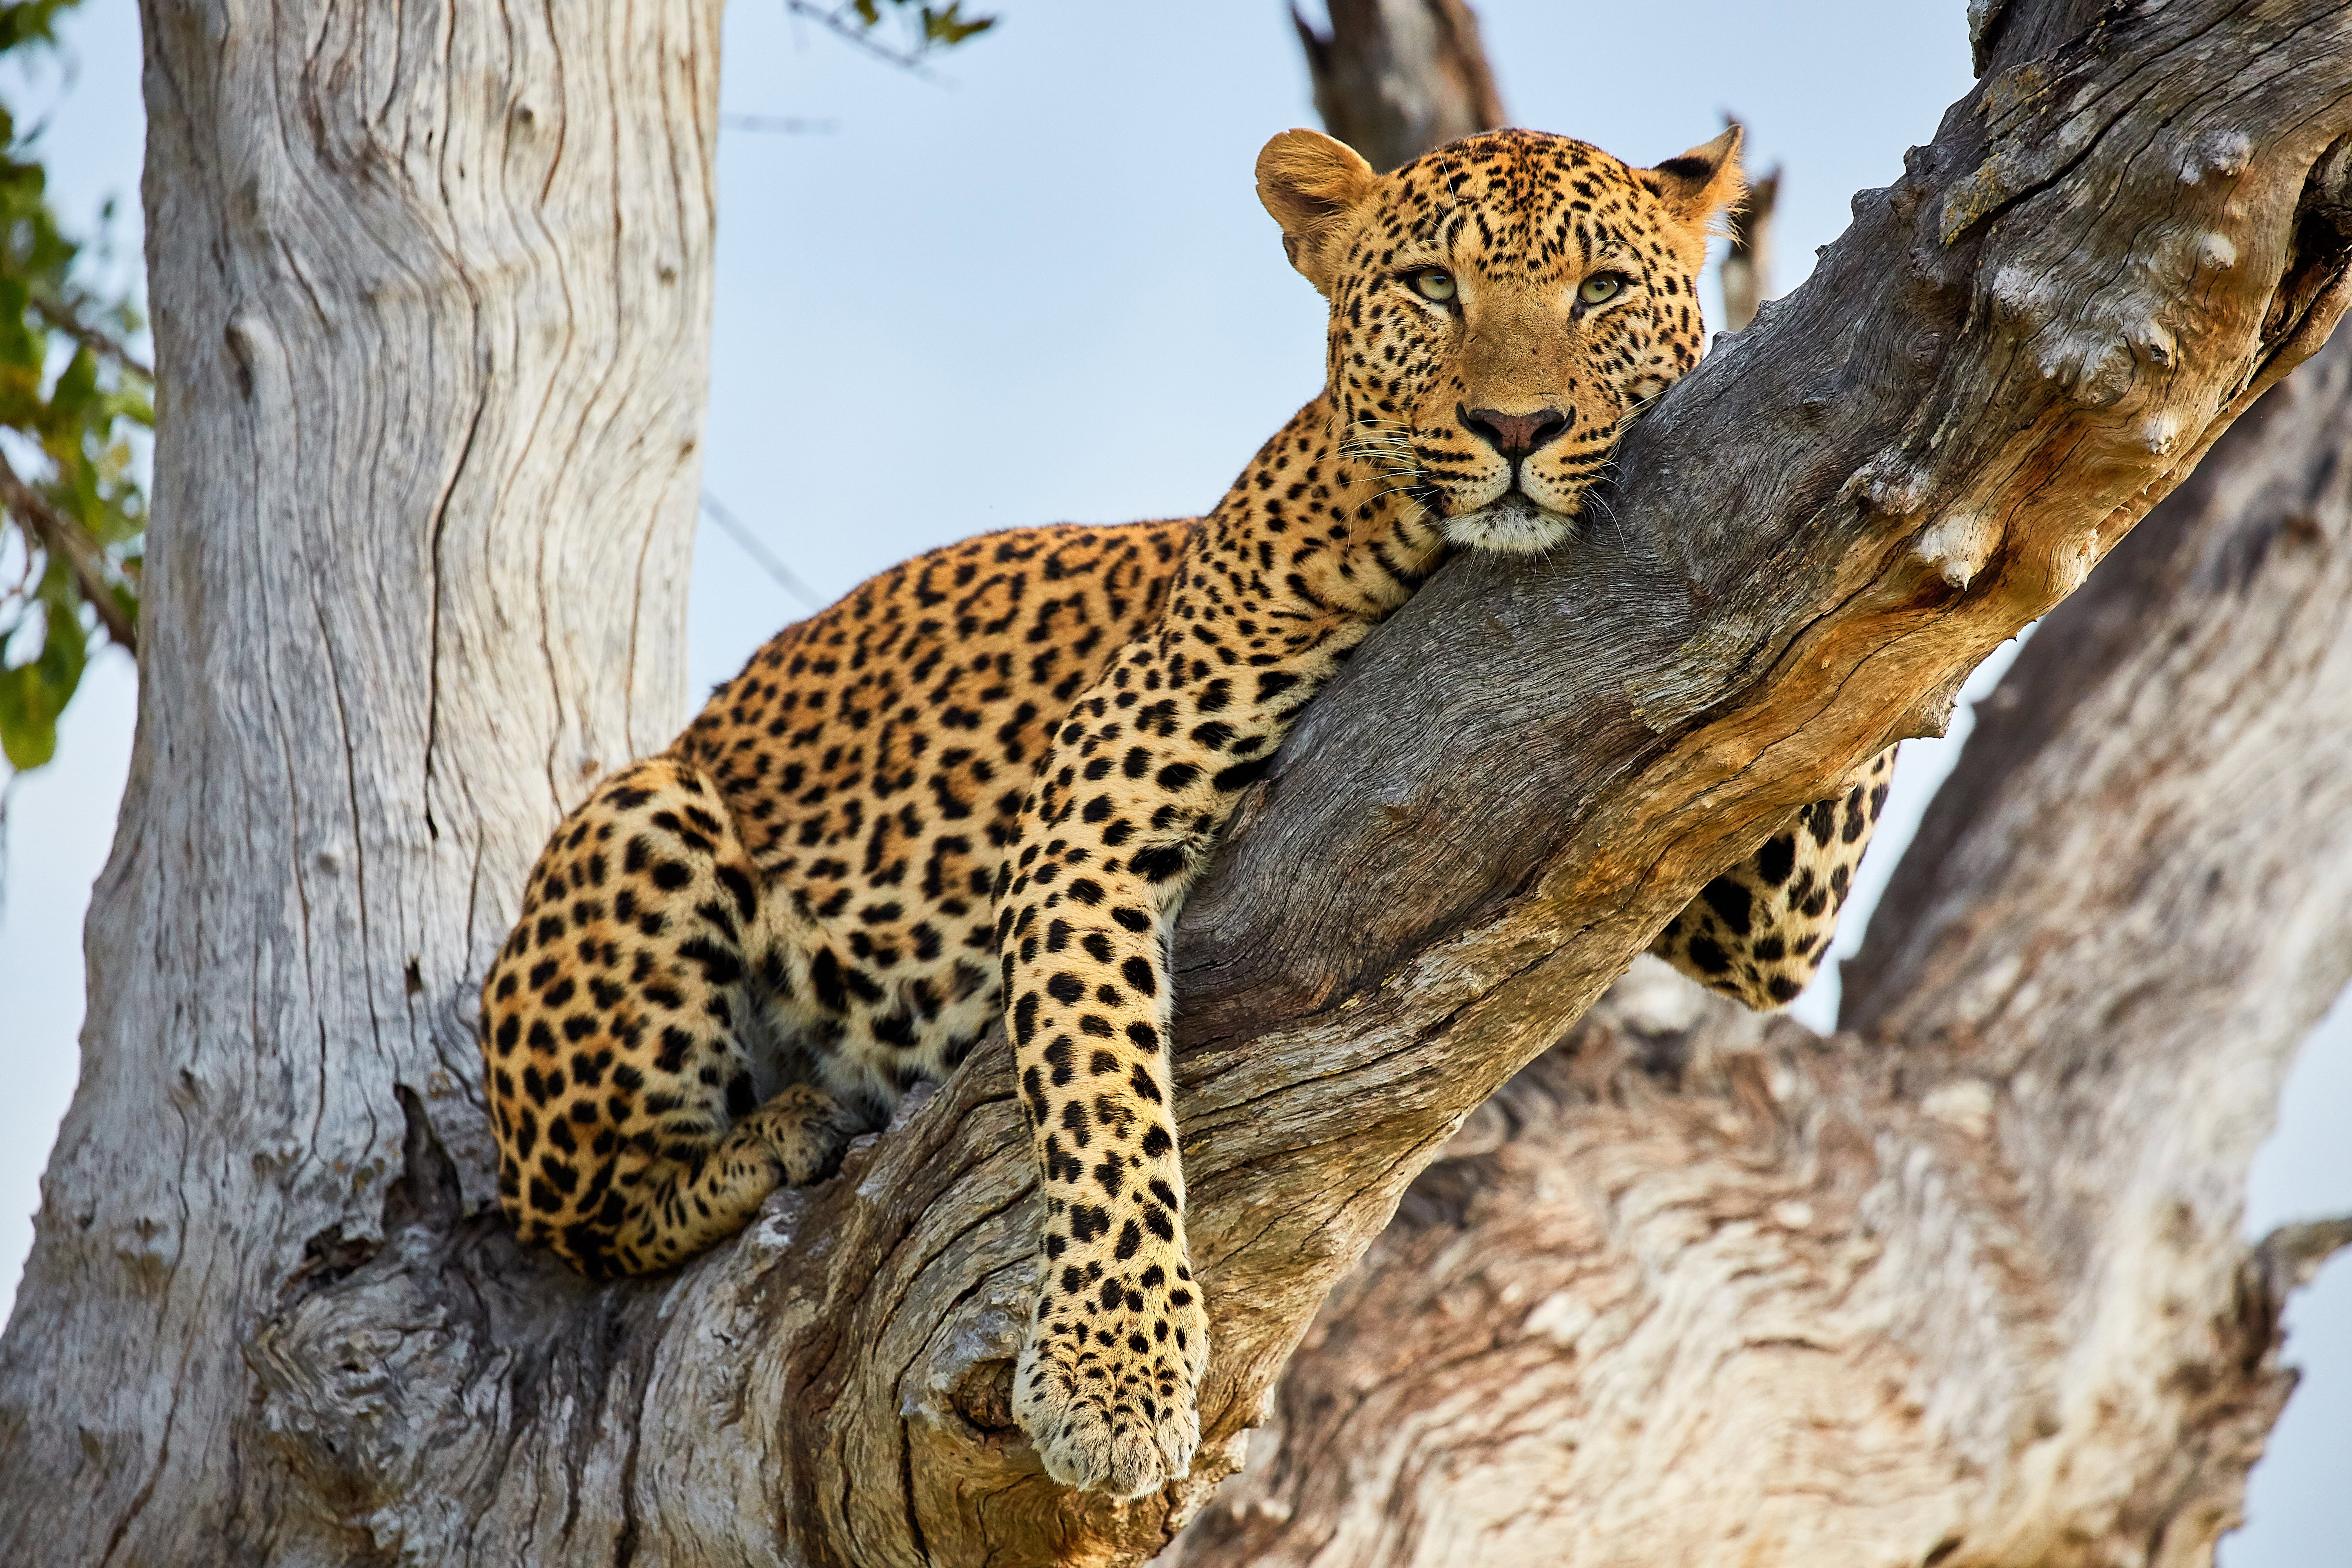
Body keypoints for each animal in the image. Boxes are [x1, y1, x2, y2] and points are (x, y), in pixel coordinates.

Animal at [478, 122, 1898, 1501]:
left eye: (1600, 291)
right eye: (1432, 289)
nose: (1515, 425)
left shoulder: (1746, 886)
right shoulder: (1088, 823)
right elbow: (1105, 1103)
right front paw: (1114, 1382)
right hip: (647, 815)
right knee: (571, 1216)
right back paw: (781, 1134)